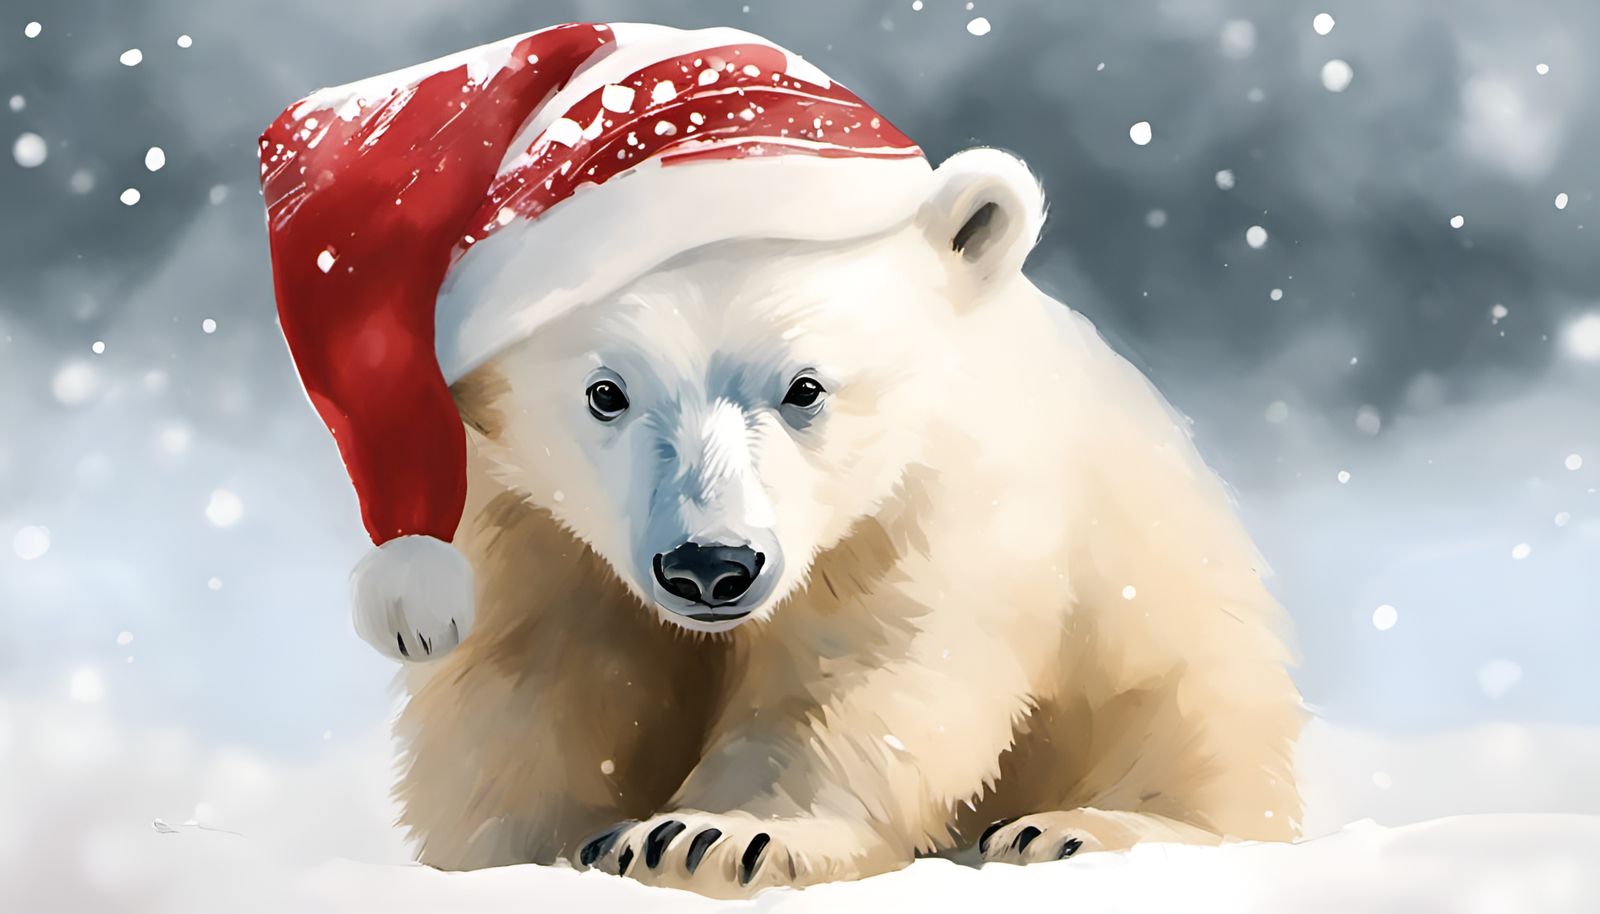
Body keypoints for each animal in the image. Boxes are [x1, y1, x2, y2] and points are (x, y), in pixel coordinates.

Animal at [389, 145, 1304, 898]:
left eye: (805, 387)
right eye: (604, 392)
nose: (711, 566)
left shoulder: (925, 504)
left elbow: (862, 675)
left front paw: (705, 837)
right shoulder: (522, 528)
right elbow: (530, 683)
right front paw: (515, 855)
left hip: (1170, 608)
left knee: (1197, 733)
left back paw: (1071, 831)